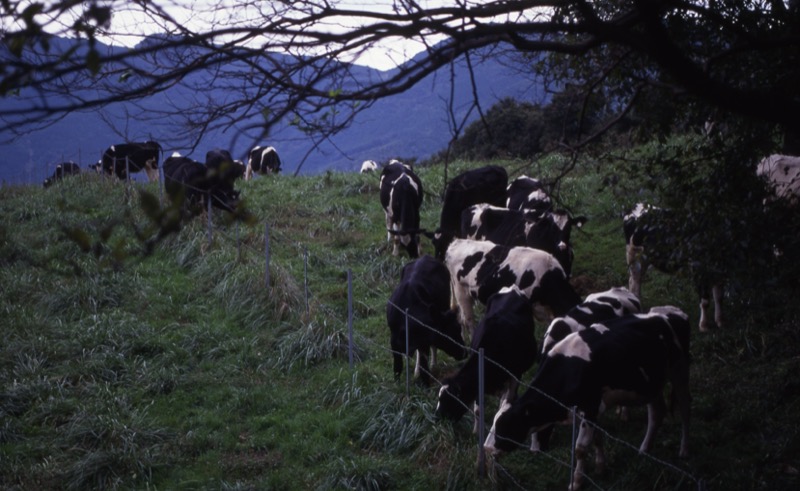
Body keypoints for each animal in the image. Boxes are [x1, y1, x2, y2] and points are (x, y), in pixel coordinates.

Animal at [388, 256, 468, 386]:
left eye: (459, 329)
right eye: (448, 334)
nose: (464, 352)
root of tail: (425, 257)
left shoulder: (424, 342)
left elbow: (424, 368)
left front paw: (426, 385)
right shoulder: (394, 341)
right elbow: (397, 366)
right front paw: (397, 385)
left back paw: (433, 365)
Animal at [434, 284, 540, 426]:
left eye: (449, 400)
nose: (436, 418)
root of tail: (512, 289)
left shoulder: (515, 375)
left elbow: (506, 402)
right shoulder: (480, 384)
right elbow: (478, 410)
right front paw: (475, 430)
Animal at [484, 306, 692, 490]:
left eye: (506, 426)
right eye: (493, 424)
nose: (486, 448)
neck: (568, 368)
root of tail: (672, 312)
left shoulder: (591, 406)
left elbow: (581, 448)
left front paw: (576, 483)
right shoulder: (590, 410)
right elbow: (597, 437)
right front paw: (601, 467)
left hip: (680, 369)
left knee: (685, 409)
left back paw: (684, 450)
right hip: (652, 383)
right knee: (657, 413)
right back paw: (644, 450)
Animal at [624, 202, 724, 332]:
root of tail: (636, 206)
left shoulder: (720, 272)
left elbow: (719, 297)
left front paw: (720, 321)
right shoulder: (698, 270)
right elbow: (705, 301)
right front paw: (704, 325)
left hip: (645, 258)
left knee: (635, 279)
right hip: (632, 254)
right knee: (635, 279)